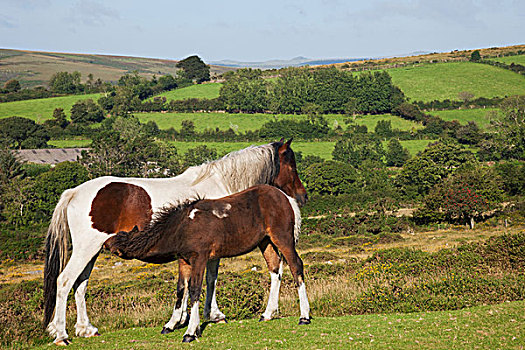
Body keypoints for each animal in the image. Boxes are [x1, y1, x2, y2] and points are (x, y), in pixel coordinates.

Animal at [107, 185, 312, 344]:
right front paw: (171, 324)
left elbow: (195, 289)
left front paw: (191, 331)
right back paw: (267, 314)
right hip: (266, 242)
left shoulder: (200, 257)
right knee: (275, 269)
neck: (183, 226)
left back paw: (304, 316)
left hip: (282, 238)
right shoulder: (184, 260)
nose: (106, 244)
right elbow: (181, 289)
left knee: (296, 266)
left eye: (122, 239)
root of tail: (286, 198)